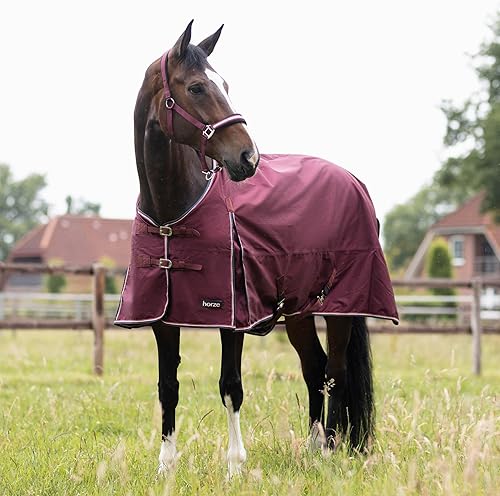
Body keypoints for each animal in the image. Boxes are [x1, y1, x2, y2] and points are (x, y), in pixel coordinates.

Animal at [115, 21, 398, 477]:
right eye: (196, 87)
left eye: (225, 84)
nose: (248, 157)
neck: (173, 212)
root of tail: (353, 180)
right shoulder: (163, 317)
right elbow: (167, 387)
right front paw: (165, 466)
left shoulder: (232, 317)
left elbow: (231, 386)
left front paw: (234, 466)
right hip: (300, 310)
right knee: (314, 367)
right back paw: (313, 447)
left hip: (342, 307)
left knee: (335, 371)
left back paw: (331, 450)